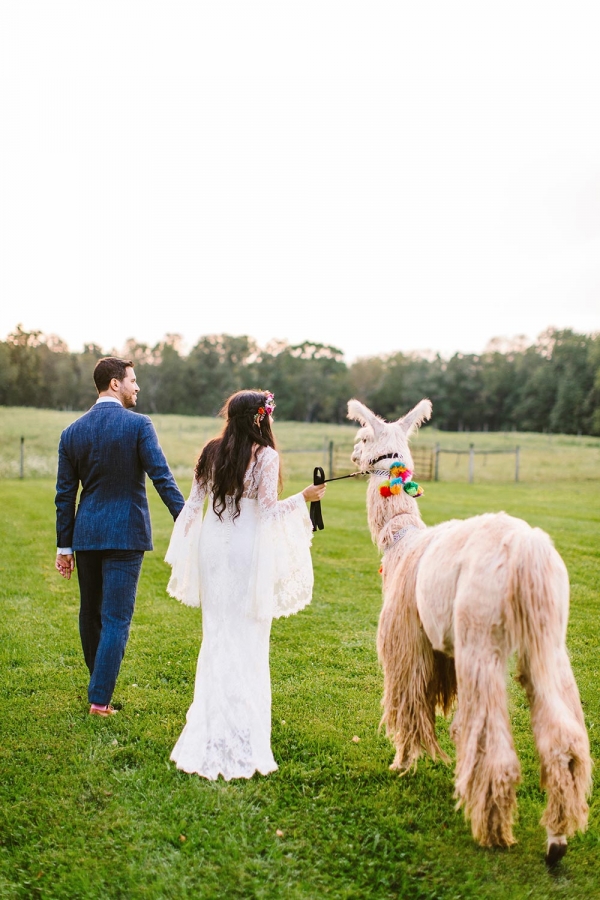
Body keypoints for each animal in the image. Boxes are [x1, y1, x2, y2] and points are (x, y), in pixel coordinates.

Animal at [347, 398, 591, 865]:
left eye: (363, 436)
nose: (351, 456)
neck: (401, 544)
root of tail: (527, 549)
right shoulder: (444, 648)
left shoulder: (406, 640)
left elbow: (408, 706)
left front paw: (402, 763)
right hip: (547, 641)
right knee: (564, 737)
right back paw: (557, 839)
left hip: (482, 637)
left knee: (498, 749)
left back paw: (491, 829)